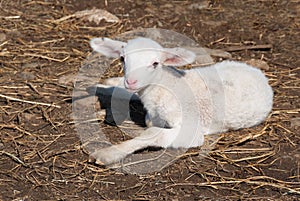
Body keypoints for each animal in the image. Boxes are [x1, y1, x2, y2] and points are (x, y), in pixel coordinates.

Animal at [88, 36, 274, 165]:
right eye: (122, 59)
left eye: (155, 63)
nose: (131, 81)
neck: (164, 87)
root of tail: (260, 75)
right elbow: (149, 122)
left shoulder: (192, 128)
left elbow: (152, 133)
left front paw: (108, 153)